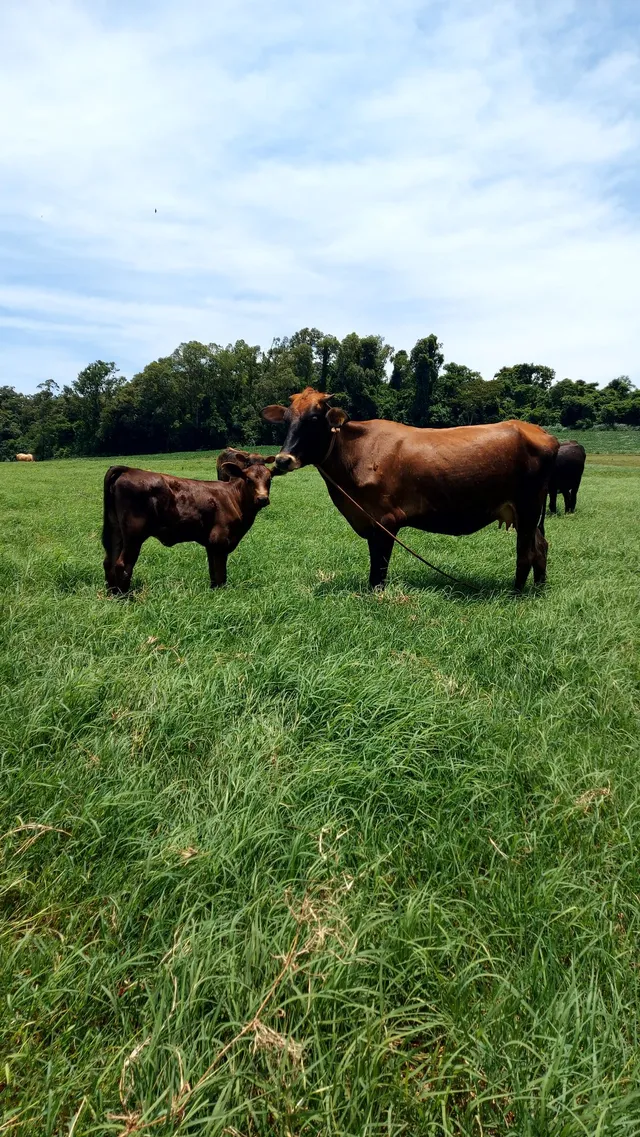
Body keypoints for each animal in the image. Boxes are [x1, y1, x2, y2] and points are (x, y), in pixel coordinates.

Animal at [102, 458, 273, 594]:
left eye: (269, 479)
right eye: (248, 479)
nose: (262, 498)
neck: (233, 498)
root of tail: (128, 469)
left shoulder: (210, 544)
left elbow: (213, 572)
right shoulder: (220, 541)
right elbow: (220, 574)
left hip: (116, 529)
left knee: (109, 562)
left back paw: (112, 593)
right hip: (134, 534)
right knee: (123, 564)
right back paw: (125, 597)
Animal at [262, 387, 559, 592]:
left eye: (314, 419)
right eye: (286, 420)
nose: (283, 460)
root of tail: (538, 430)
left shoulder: (386, 520)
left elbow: (379, 569)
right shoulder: (369, 521)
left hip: (529, 507)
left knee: (526, 553)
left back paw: (515, 594)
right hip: (528, 514)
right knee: (540, 547)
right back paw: (538, 588)